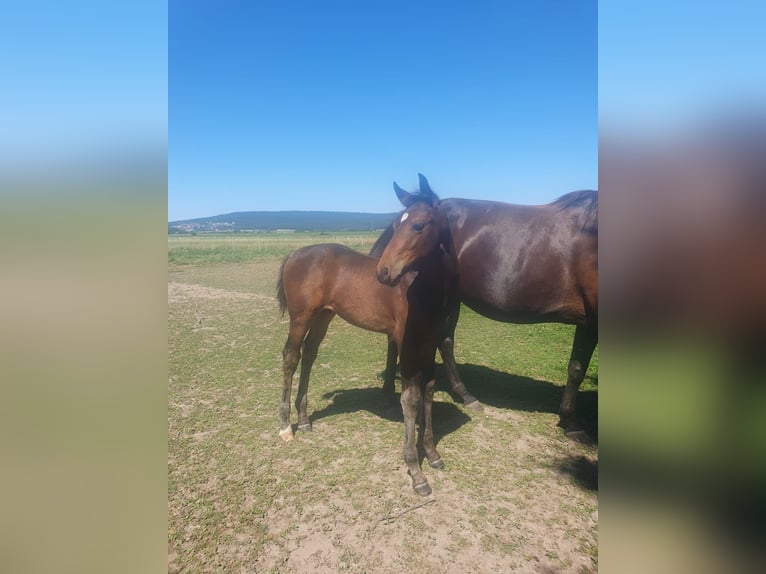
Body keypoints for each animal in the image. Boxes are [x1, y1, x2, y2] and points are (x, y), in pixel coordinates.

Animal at [276, 179, 459, 496]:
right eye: (396, 224)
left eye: (418, 225)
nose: (384, 272)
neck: (423, 288)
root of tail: (294, 255)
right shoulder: (407, 343)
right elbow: (410, 398)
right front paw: (415, 471)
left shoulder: (430, 342)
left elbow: (429, 389)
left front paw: (432, 453)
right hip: (301, 317)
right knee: (291, 356)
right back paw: (287, 426)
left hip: (324, 316)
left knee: (309, 354)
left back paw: (304, 419)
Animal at [370, 174, 598, 441]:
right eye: (403, 226)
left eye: (418, 226)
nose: (385, 270)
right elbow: (577, 370)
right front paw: (571, 422)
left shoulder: (587, 322)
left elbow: (576, 367)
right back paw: (390, 392)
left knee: (444, 343)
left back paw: (463, 395)